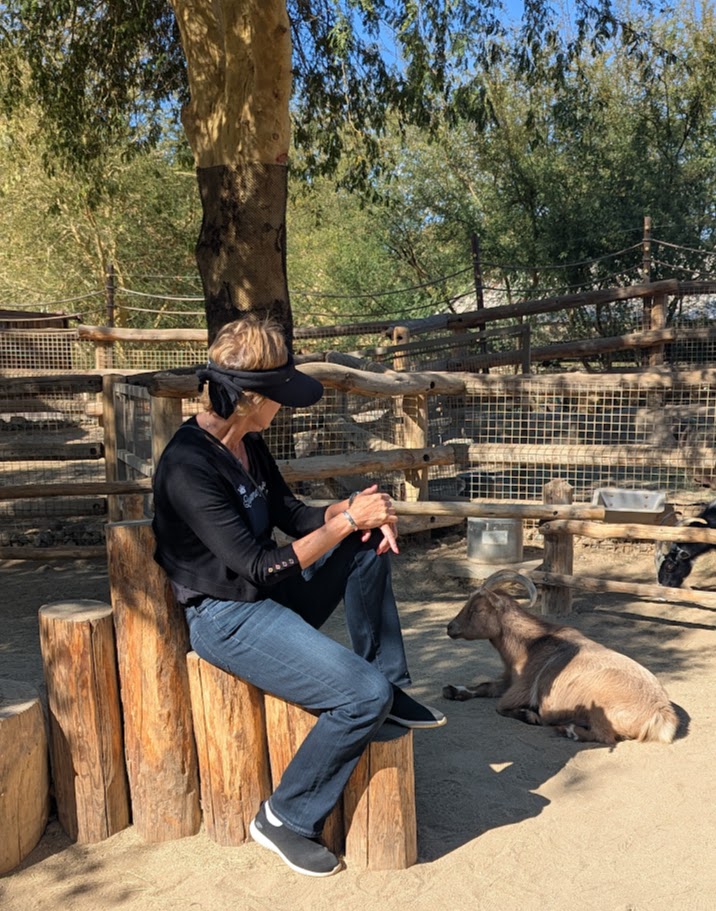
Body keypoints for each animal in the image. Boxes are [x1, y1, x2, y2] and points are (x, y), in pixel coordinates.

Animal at [444, 572, 680, 744]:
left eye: (478, 609)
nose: (450, 627)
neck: (531, 644)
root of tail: (662, 714)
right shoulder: (509, 679)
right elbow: (484, 686)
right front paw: (453, 690)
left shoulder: (521, 689)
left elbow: (500, 707)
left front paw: (531, 716)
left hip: (598, 708)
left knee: (605, 736)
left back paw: (568, 729)